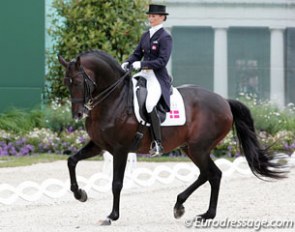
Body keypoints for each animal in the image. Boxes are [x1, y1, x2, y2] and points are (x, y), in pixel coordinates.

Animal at [58, 49, 286, 226]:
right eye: (66, 83)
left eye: (79, 82)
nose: (78, 114)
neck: (114, 99)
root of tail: (224, 101)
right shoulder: (99, 145)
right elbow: (71, 161)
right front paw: (80, 194)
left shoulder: (120, 149)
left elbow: (116, 183)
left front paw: (111, 216)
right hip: (191, 148)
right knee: (210, 174)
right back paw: (190, 209)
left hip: (198, 148)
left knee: (212, 174)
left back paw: (197, 211)